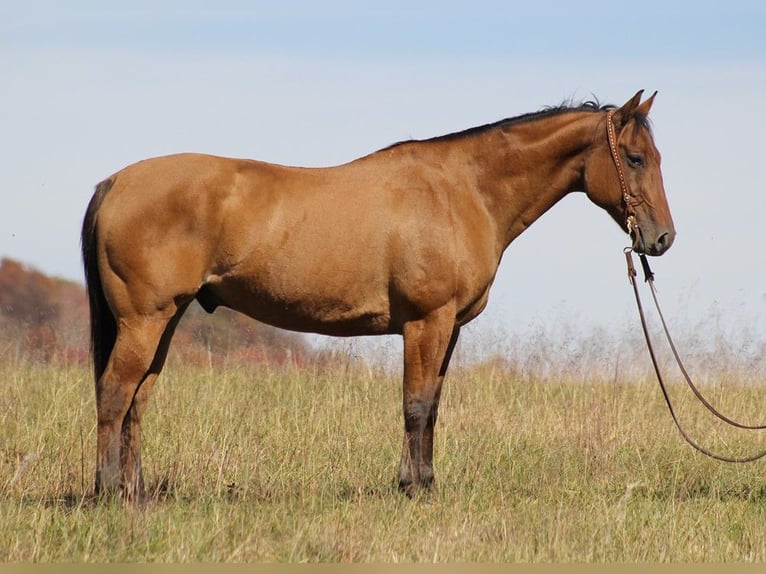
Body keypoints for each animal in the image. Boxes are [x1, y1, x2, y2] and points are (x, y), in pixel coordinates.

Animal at [81, 88, 676, 502]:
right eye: (636, 158)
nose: (662, 239)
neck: (463, 190)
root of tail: (114, 183)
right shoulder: (426, 322)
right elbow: (416, 405)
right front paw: (412, 490)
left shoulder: (448, 328)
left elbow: (432, 405)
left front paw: (425, 483)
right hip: (144, 320)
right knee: (114, 394)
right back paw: (107, 491)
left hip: (165, 320)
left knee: (137, 401)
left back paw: (136, 493)